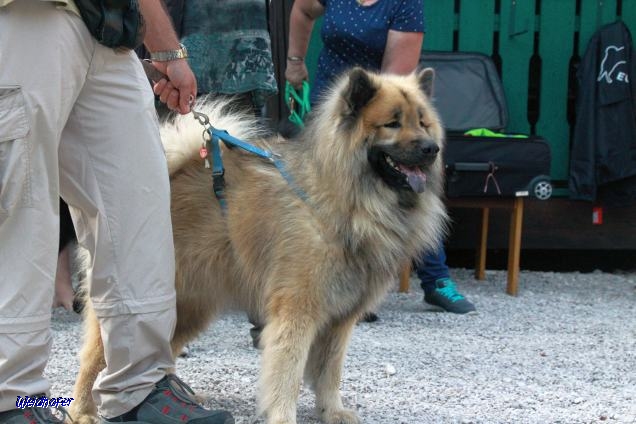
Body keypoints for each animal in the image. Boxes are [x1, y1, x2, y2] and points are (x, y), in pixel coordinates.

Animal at [69, 67, 448, 424]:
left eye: (423, 122)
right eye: (392, 124)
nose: (431, 148)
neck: (343, 199)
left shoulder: (340, 319)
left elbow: (329, 372)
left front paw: (332, 411)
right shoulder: (297, 311)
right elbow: (287, 372)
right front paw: (283, 416)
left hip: (191, 303)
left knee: (165, 346)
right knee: (95, 358)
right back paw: (83, 410)